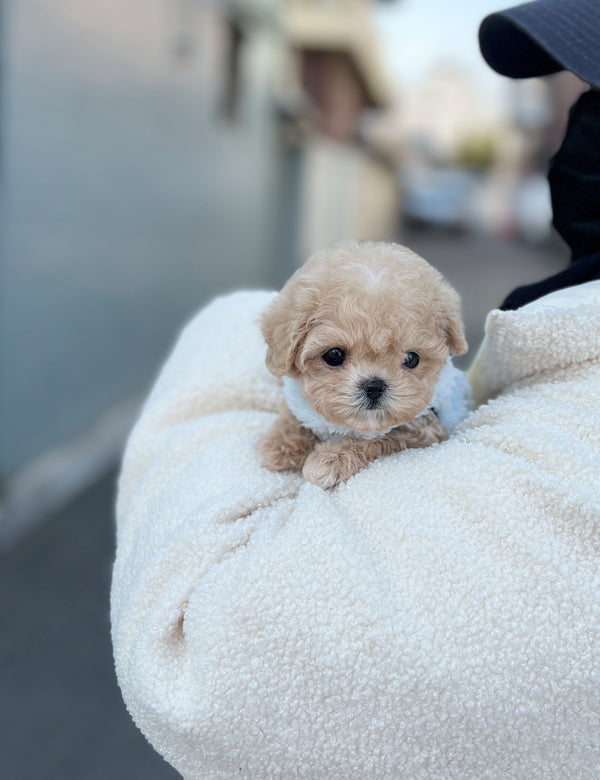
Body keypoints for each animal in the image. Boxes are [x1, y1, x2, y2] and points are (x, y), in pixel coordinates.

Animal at [258, 241, 468, 490]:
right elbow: (293, 415)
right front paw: (278, 446)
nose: (374, 386)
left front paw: (330, 460)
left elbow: (382, 438)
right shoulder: (299, 402)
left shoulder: (425, 429)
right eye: (334, 355)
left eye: (412, 359)